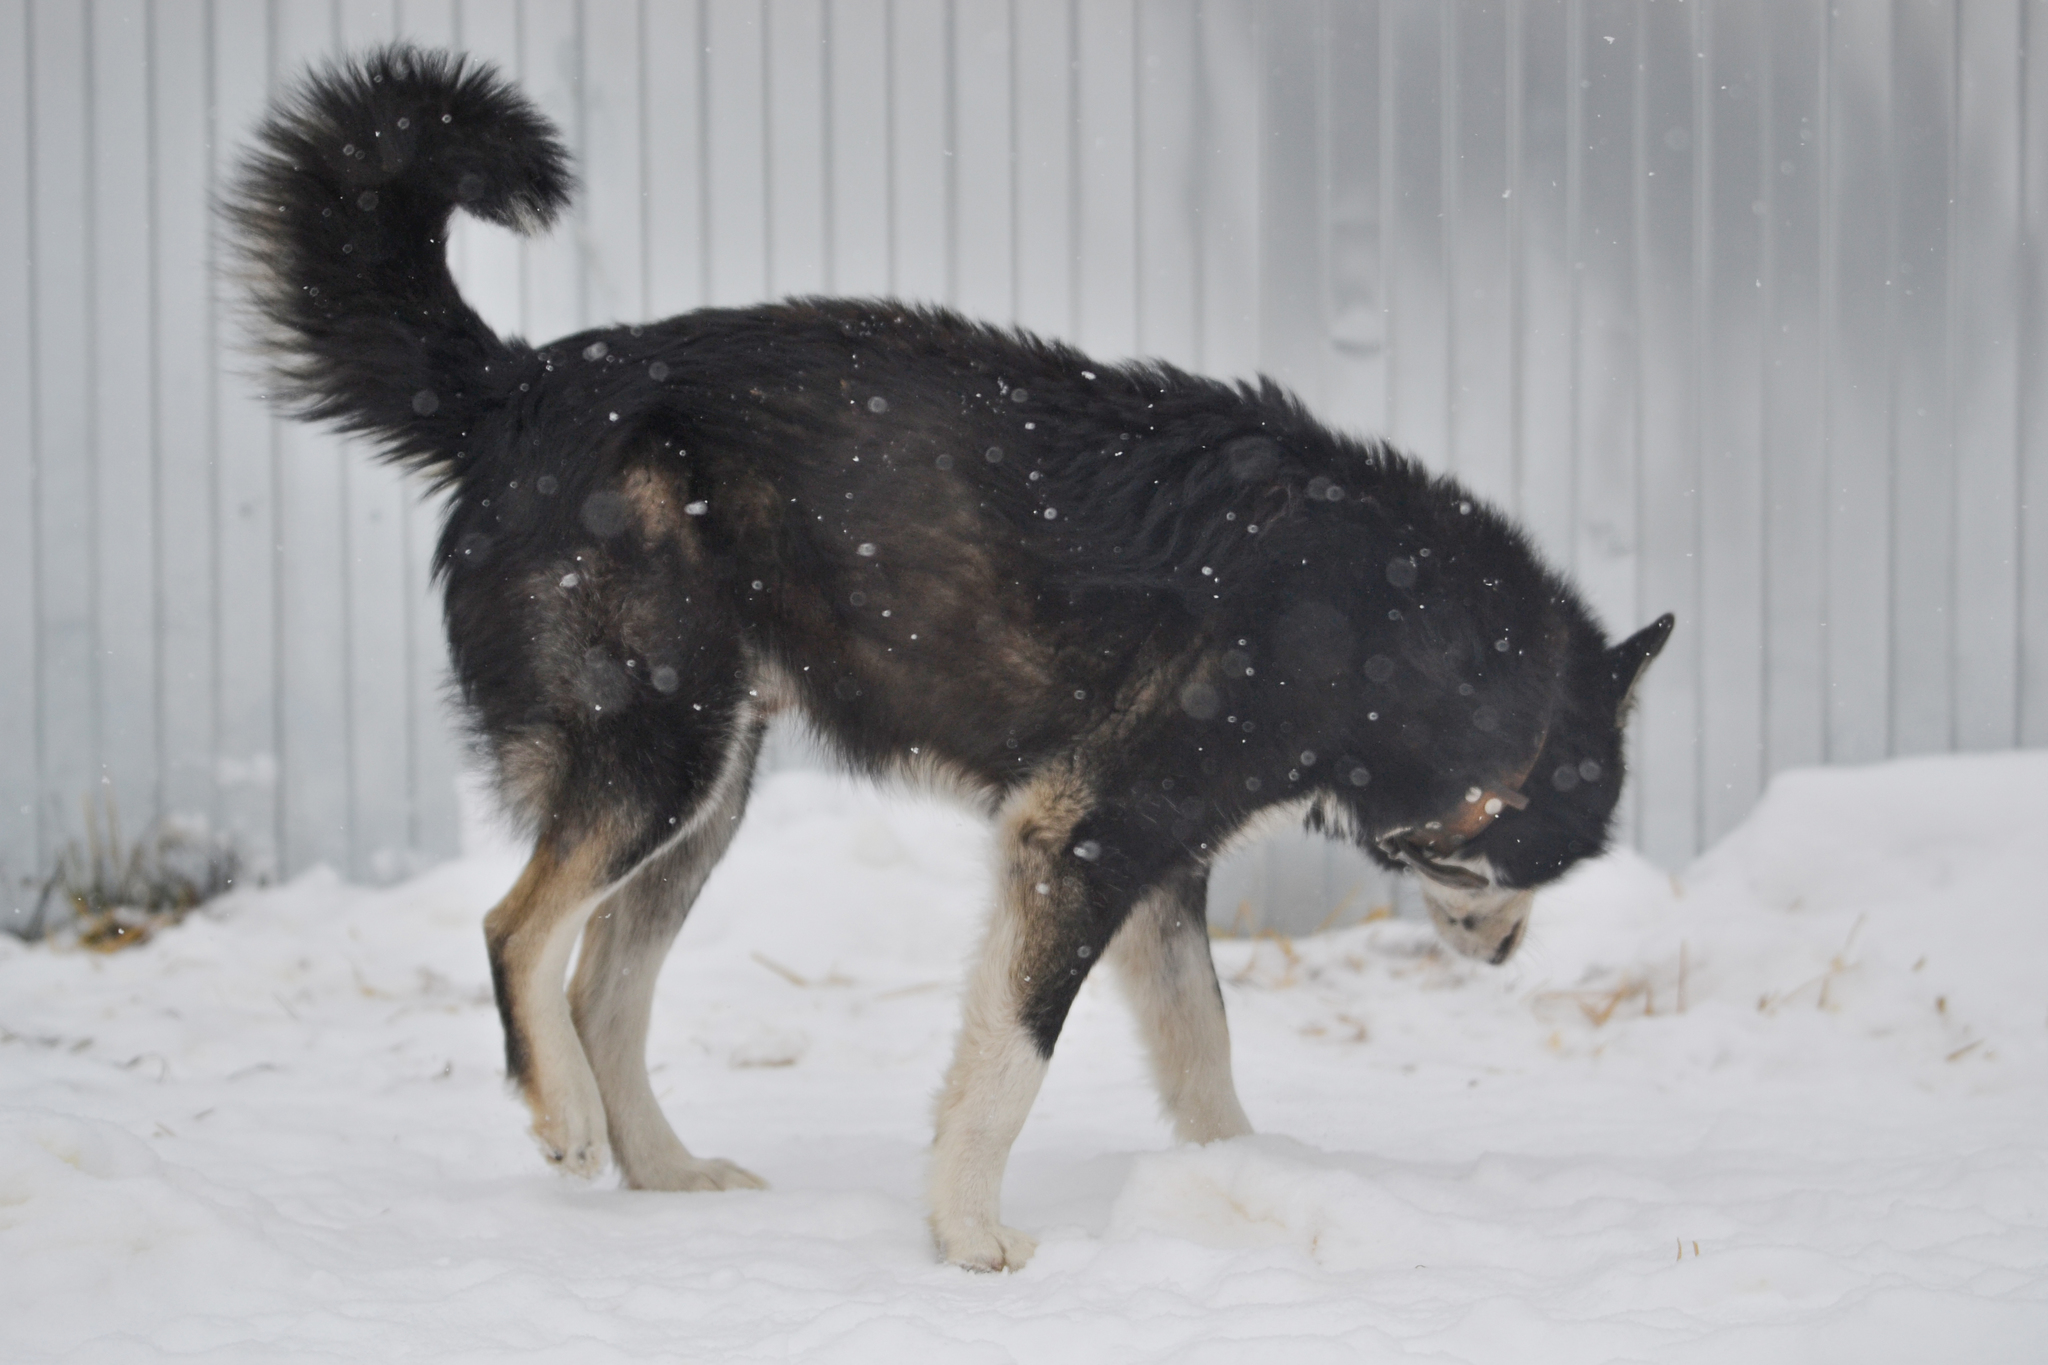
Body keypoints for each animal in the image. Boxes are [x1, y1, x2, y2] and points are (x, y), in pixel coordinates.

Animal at [232, 48, 1671, 1277]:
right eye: (1537, 869)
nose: (1505, 961)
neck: (1406, 637)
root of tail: (521, 386)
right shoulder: (1079, 839)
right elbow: (1014, 1061)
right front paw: (971, 1240)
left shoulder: (1153, 873)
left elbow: (1204, 1059)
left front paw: (1249, 1191)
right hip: (655, 751)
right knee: (519, 929)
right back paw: (564, 1119)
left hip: (710, 789)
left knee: (603, 986)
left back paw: (666, 1172)